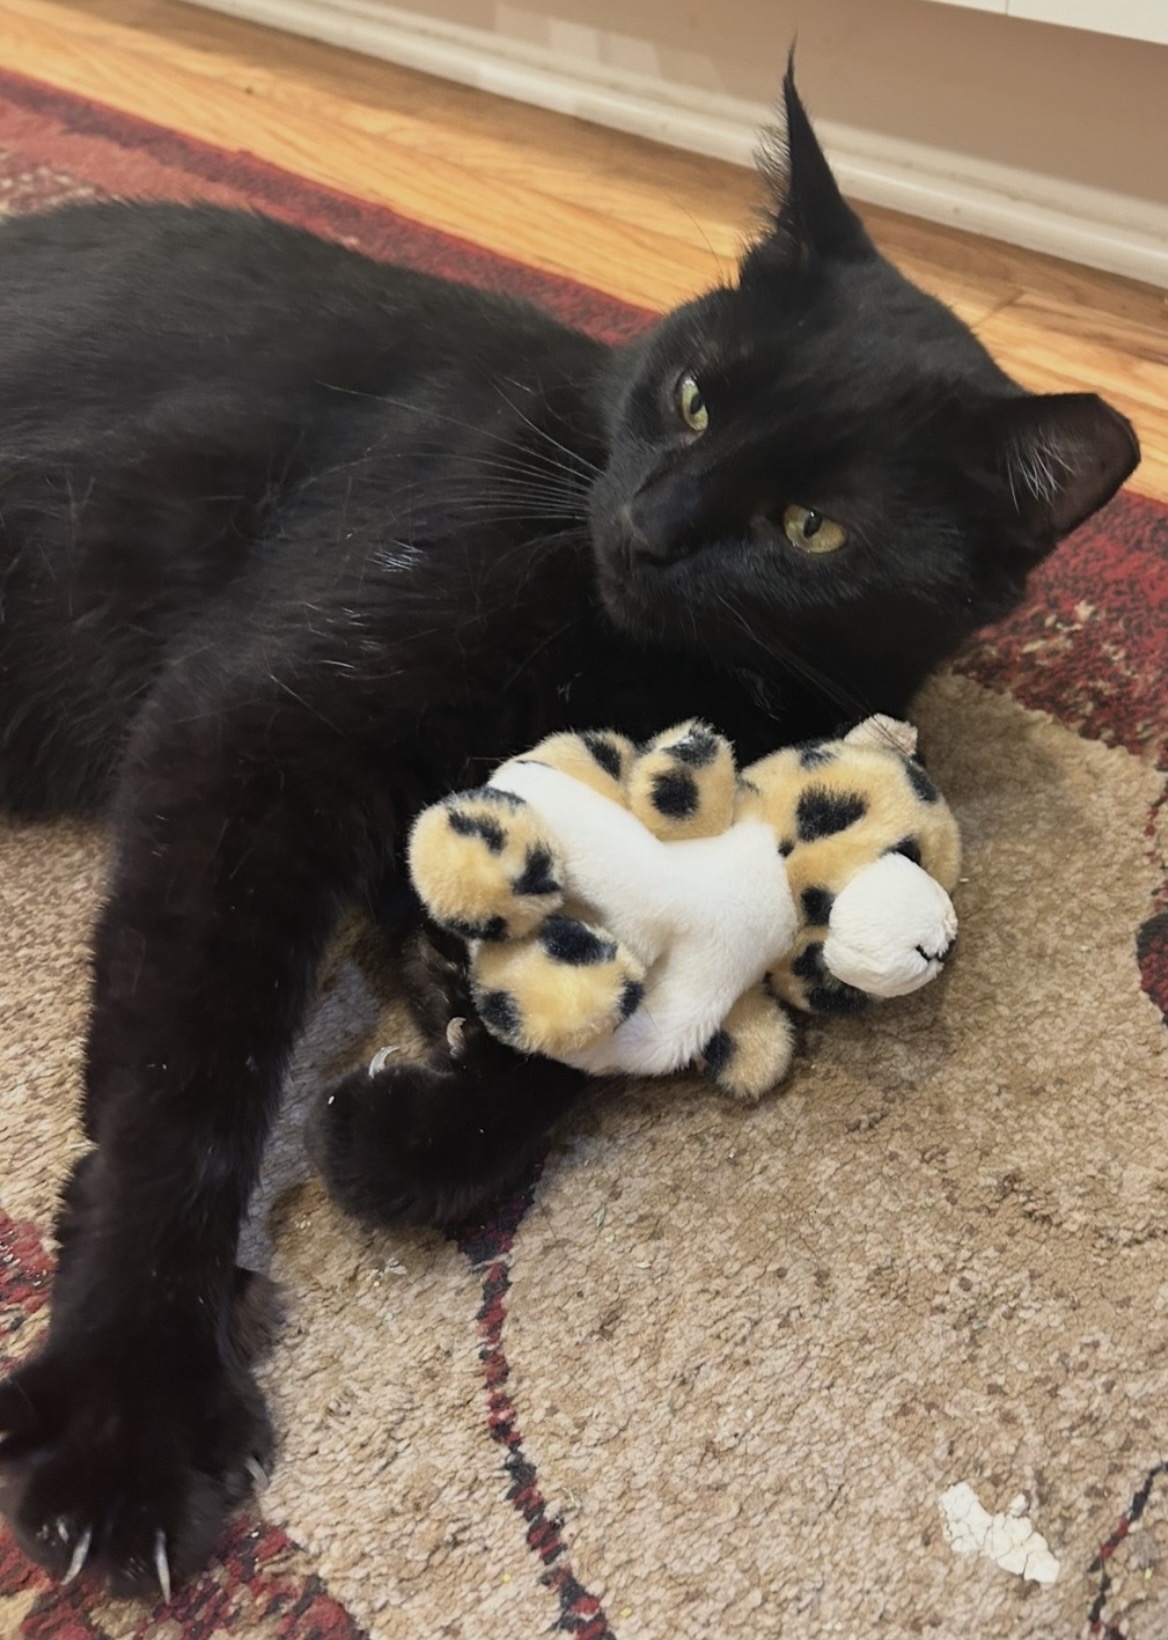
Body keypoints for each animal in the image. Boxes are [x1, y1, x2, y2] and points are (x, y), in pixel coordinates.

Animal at [0, 70, 1138, 1597]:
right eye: (695, 396)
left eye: (813, 528)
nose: (651, 525)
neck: (621, 652)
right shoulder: (250, 729)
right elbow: (185, 1077)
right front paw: (132, 1405)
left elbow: (587, 1034)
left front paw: (416, 1116)